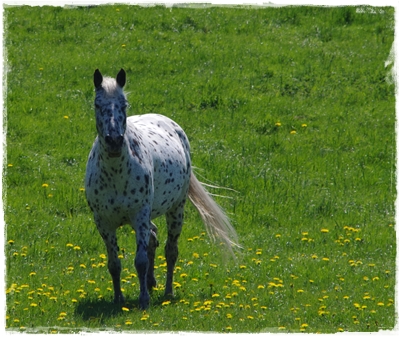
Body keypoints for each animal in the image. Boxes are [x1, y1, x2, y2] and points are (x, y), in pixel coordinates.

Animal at [85, 69, 241, 310]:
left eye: (124, 105)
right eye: (97, 104)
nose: (114, 141)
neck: (115, 174)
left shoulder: (139, 215)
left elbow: (140, 261)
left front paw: (143, 300)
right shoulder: (103, 222)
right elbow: (114, 263)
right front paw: (119, 298)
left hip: (176, 210)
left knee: (170, 251)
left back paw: (167, 291)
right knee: (153, 238)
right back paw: (150, 283)